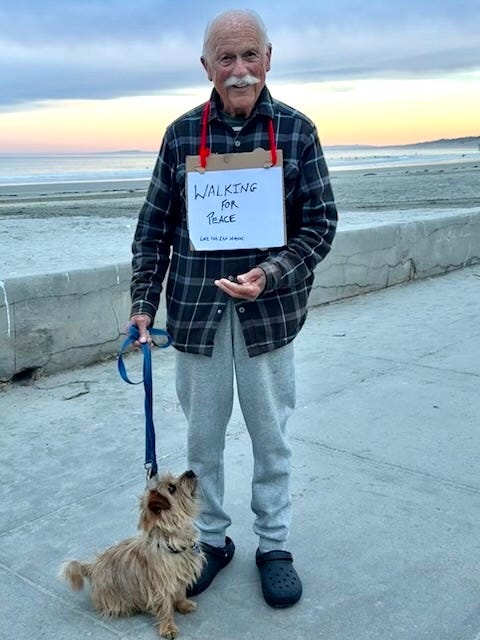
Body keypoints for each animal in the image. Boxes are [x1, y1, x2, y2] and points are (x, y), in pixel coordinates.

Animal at [59, 470, 204, 639]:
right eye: (172, 488)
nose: (190, 471)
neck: (171, 540)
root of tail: (93, 567)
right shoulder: (160, 585)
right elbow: (165, 606)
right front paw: (168, 627)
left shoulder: (180, 575)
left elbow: (180, 592)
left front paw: (183, 605)